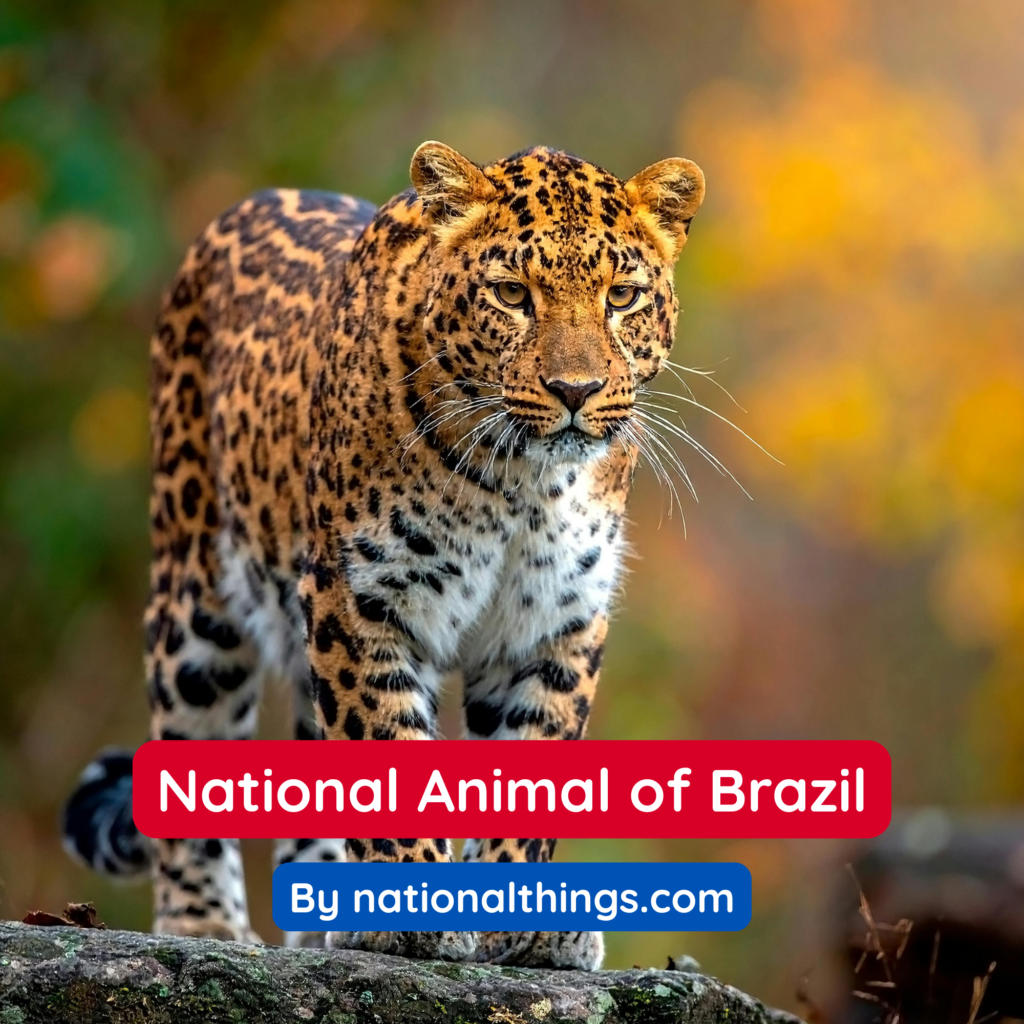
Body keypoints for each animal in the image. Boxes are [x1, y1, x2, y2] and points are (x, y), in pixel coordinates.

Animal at [63, 141, 705, 970]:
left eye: (621, 297)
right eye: (512, 293)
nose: (576, 389)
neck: (525, 479)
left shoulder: (556, 618)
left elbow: (534, 757)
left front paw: (523, 919)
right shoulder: (360, 595)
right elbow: (386, 745)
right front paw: (416, 909)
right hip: (197, 585)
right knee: (189, 732)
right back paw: (206, 925)